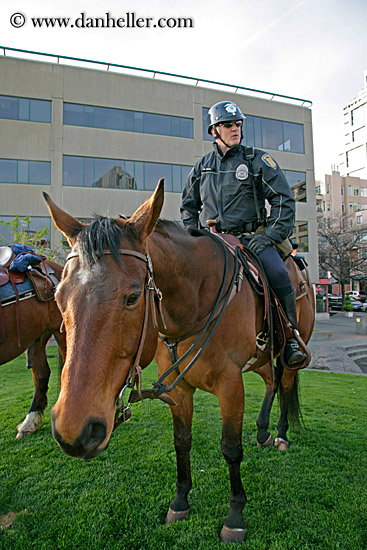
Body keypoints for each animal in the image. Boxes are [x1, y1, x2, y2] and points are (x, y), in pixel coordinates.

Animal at [43, 183, 314, 544]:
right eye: (58, 297)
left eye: (133, 297)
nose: (75, 430)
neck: (199, 300)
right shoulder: (180, 390)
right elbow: (181, 442)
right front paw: (181, 501)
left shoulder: (231, 386)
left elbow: (231, 448)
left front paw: (235, 517)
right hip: (259, 357)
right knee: (271, 381)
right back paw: (262, 430)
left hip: (288, 351)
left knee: (284, 382)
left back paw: (281, 433)